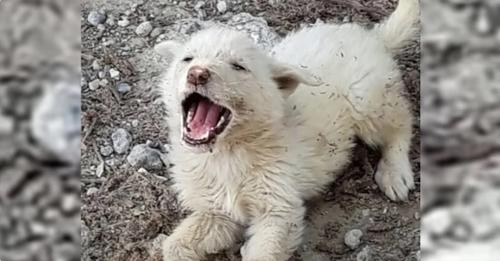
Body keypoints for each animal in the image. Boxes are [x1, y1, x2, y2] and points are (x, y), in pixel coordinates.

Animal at [156, 1, 418, 258]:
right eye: (187, 59)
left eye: (238, 66)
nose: (197, 74)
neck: (227, 153)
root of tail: (373, 37)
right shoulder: (217, 211)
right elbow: (174, 245)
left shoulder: (279, 211)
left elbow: (263, 253)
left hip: (367, 101)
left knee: (402, 123)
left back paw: (395, 173)